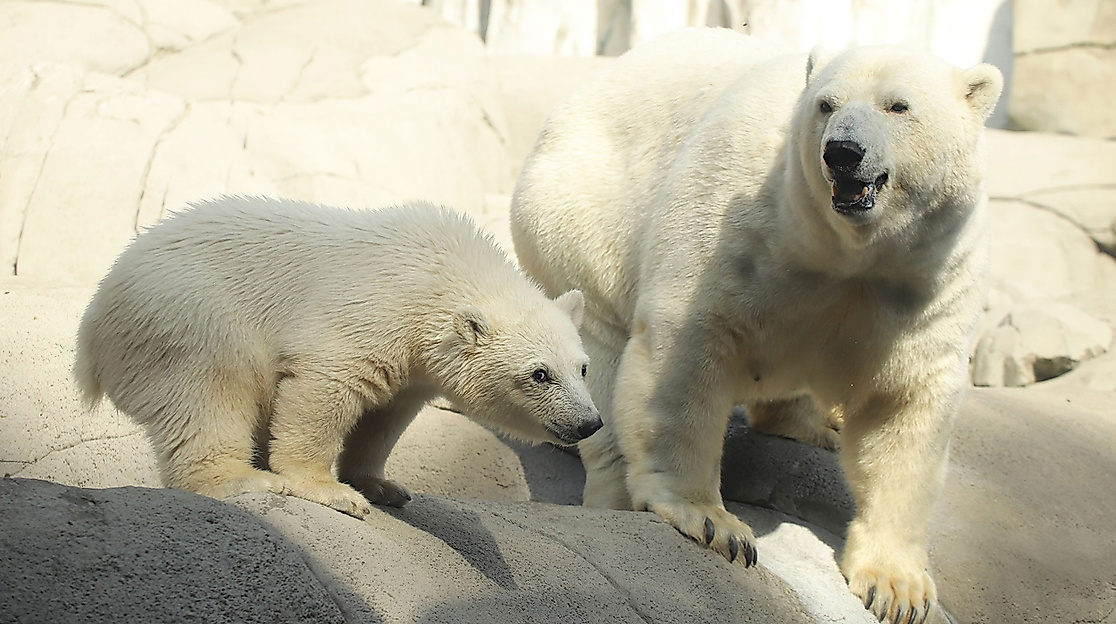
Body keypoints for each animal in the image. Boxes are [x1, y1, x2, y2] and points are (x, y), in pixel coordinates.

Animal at [74, 196, 602, 518]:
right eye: (539, 374)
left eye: (582, 367)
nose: (589, 423)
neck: (442, 271)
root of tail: (91, 330)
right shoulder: (372, 309)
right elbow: (324, 384)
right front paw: (329, 490)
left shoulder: (414, 362)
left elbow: (387, 416)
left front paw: (383, 485)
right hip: (183, 319)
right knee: (209, 395)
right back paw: (243, 479)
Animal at [510, 28, 1002, 624]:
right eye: (826, 104)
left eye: (898, 105)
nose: (842, 152)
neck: (848, 251)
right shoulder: (742, 225)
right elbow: (688, 345)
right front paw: (711, 522)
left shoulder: (927, 276)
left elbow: (905, 409)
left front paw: (898, 588)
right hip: (580, 222)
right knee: (600, 363)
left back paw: (815, 425)